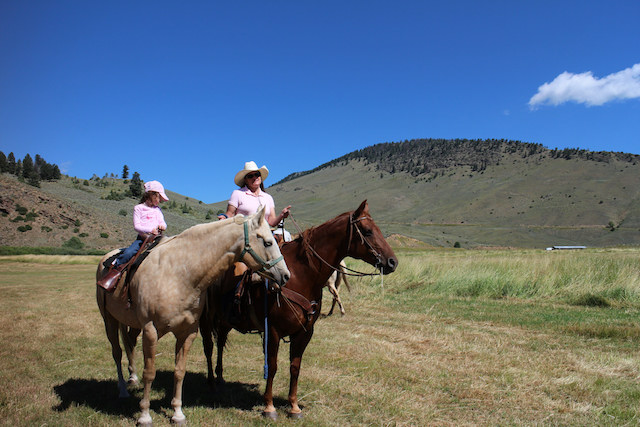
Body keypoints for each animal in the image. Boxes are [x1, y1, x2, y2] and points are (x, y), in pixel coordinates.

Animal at [95, 208, 290, 427]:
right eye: (267, 242)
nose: (285, 275)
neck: (180, 274)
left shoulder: (187, 332)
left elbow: (179, 371)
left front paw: (177, 413)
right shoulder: (150, 331)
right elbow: (150, 372)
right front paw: (145, 415)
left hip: (131, 323)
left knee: (129, 343)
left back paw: (132, 377)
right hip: (109, 320)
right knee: (117, 352)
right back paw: (122, 389)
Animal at [202, 202, 398, 420]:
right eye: (367, 231)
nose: (392, 262)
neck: (301, 275)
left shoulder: (304, 332)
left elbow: (295, 367)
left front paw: (294, 406)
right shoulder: (274, 331)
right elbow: (272, 366)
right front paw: (269, 407)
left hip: (225, 320)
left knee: (220, 342)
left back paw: (220, 377)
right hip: (206, 318)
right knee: (209, 346)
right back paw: (211, 382)